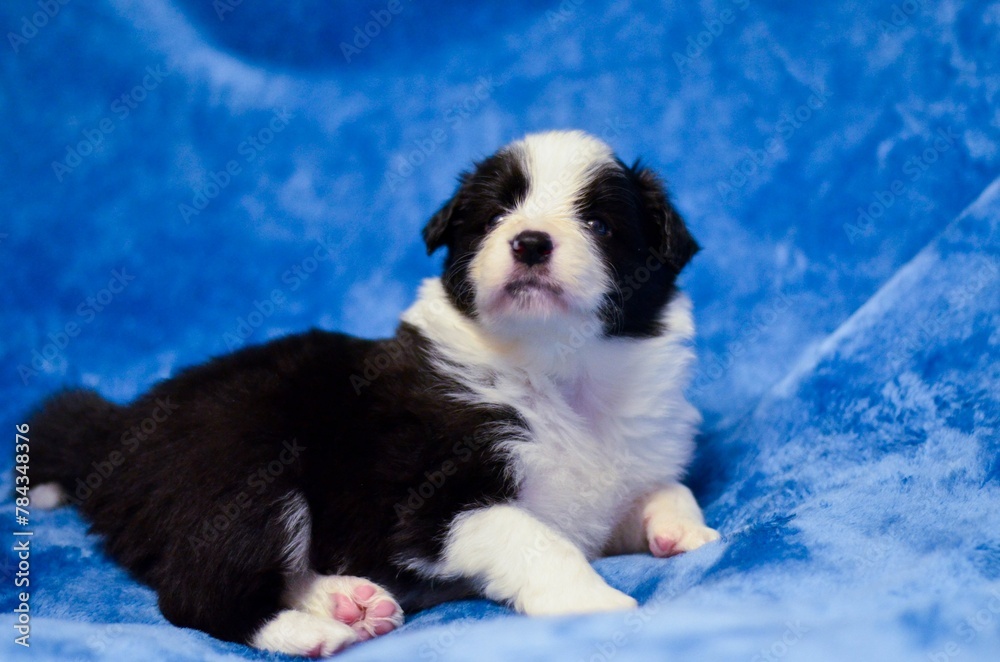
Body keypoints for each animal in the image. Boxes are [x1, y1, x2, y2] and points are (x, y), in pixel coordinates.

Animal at [29, 131, 720, 660]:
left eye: (599, 223)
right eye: (494, 217)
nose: (528, 242)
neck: (556, 371)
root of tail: (118, 430)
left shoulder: (611, 475)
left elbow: (663, 488)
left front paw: (685, 531)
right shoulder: (425, 503)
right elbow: (534, 537)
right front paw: (596, 601)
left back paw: (345, 600)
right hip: (246, 468)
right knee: (193, 594)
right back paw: (310, 631)